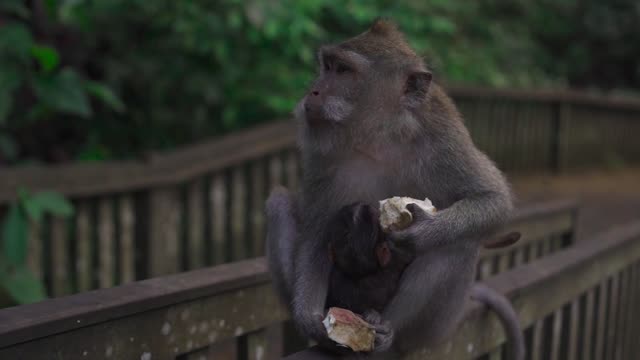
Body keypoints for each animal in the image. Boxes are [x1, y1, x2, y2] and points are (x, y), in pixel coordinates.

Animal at [264, 18, 520, 356]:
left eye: (343, 70)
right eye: (327, 66)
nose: (314, 91)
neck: (377, 135)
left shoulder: (443, 139)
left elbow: (493, 199)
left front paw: (421, 233)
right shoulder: (322, 154)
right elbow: (316, 232)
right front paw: (309, 319)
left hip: (437, 327)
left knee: (459, 243)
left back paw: (387, 330)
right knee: (279, 203)